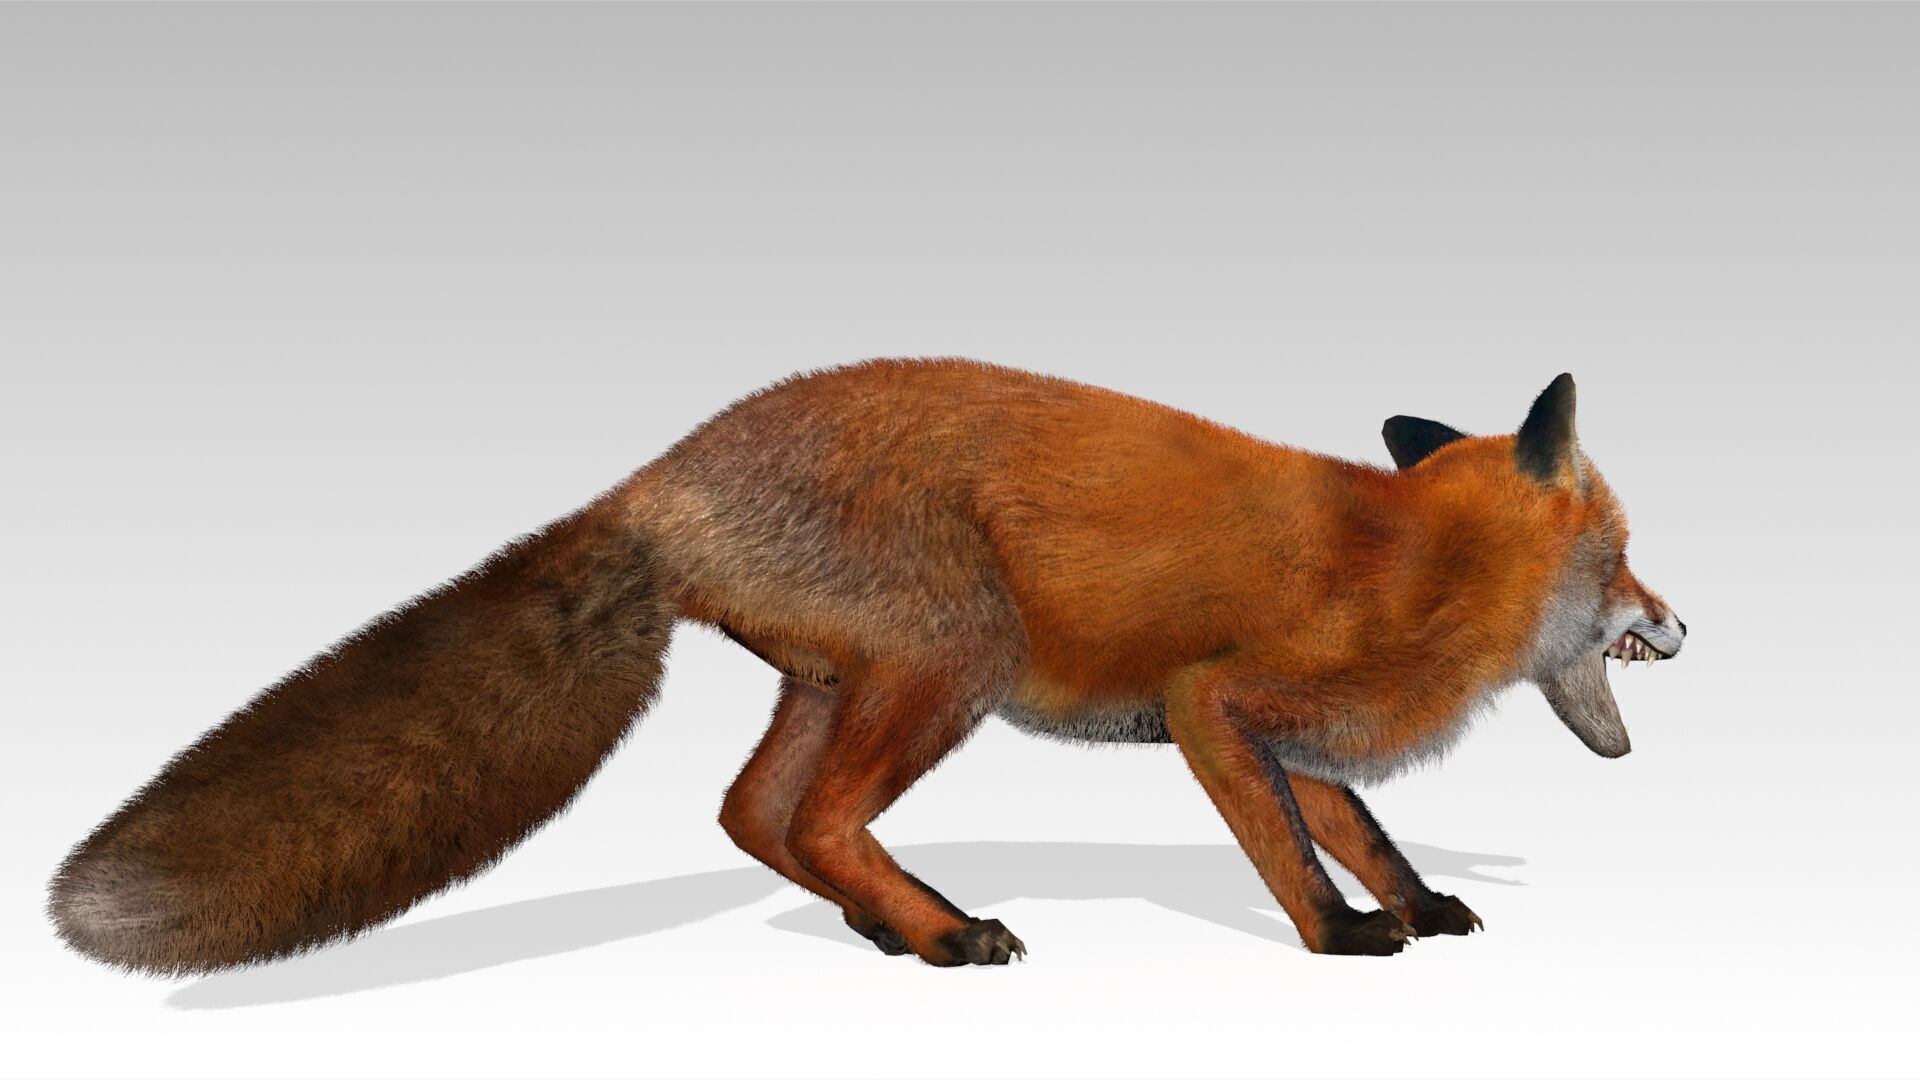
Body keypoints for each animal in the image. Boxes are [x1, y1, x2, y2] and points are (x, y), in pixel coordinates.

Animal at [49, 358, 1685, 970]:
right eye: (1622, 557)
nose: (1681, 621)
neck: (1414, 561)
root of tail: (661, 477)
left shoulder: (1296, 731)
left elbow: (1357, 822)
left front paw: (1413, 902)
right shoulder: (1219, 702)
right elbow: (1292, 845)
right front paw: (1345, 939)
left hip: (841, 683)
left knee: (756, 814)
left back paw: (893, 929)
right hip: (951, 663)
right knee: (819, 817)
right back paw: (947, 932)